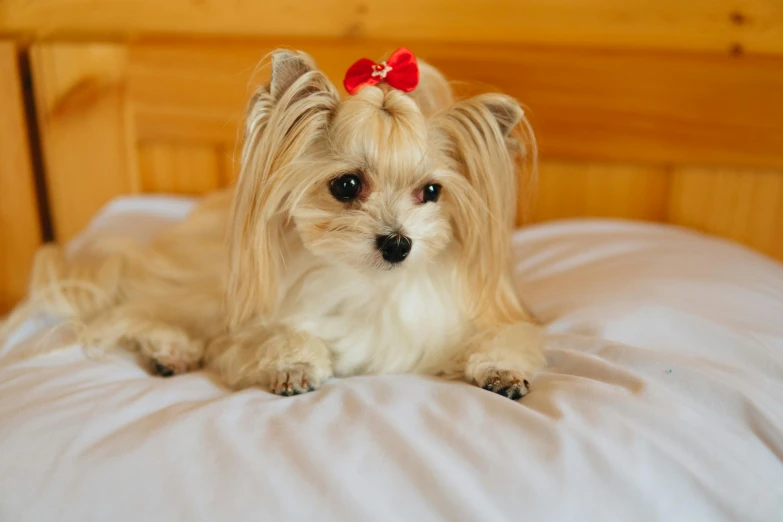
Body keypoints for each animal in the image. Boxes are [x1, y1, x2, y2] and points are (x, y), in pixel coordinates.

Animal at [4, 47, 544, 398]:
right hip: (204, 290)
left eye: (431, 192)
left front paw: (502, 371)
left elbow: (505, 338)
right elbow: (277, 336)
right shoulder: (245, 329)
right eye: (347, 185)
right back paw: (172, 350)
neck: (368, 286)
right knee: (137, 310)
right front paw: (295, 364)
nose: (398, 244)